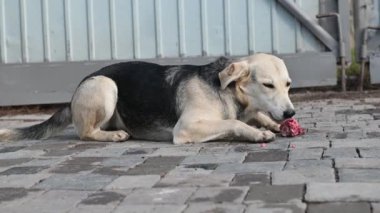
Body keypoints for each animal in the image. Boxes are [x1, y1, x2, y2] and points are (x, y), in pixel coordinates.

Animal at [0, 52, 296, 145]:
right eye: (268, 85)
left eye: (288, 85)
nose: (291, 114)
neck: (227, 90)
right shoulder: (186, 127)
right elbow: (233, 123)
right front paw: (257, 133)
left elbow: (256, 115)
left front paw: (270, 124)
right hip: (106, 85)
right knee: (86, 132)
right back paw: (114, 135)